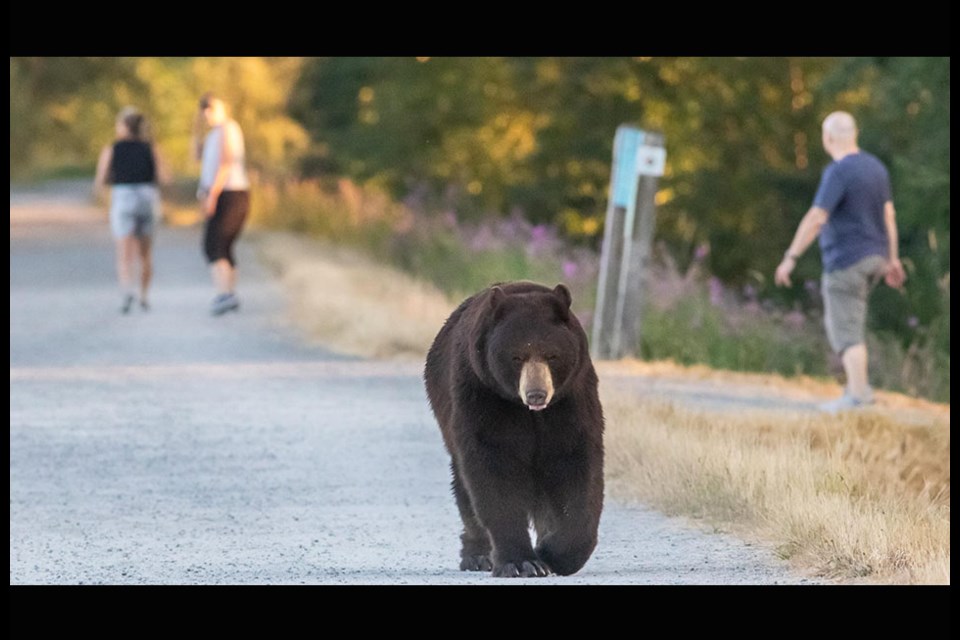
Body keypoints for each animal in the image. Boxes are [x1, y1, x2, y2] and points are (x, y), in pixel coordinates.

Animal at [424, 282, 604, 576]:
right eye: (516, 356)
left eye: (552, 355)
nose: (536, 394)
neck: (527, 411)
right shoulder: (483, 395)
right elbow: (494, 469)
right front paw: (522, 562)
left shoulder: (571, 399)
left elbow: (577, 466)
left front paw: (552, 552)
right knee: (464, 489)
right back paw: (477, 555)